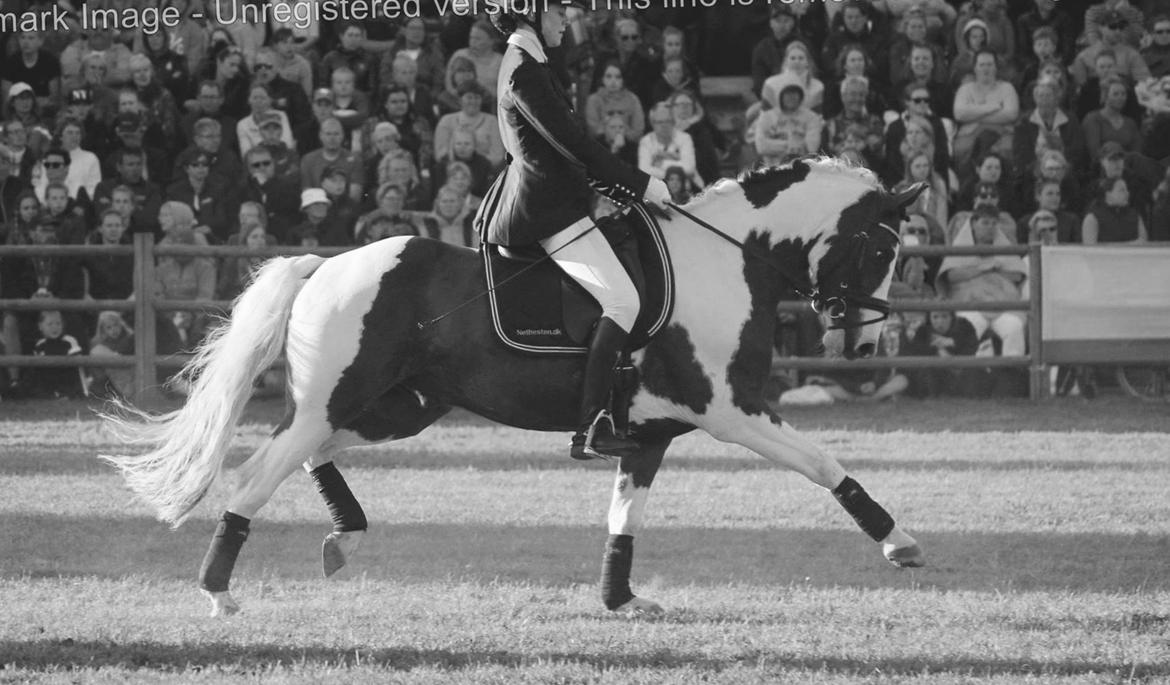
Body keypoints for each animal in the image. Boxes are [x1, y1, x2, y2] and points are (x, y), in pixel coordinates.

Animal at [102, 157, 927, 618]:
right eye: (883, 247)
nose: (864, 341)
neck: (725, 259)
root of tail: (328, 263)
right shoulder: (731, 408)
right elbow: (824, 464)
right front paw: (899, 540)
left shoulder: (650, 431)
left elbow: (623, 518)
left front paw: (621, 599)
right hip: (344, 400)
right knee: (255, 475)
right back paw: (219, 591)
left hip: (399, 407)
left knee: (304, 453)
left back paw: (345, 532)